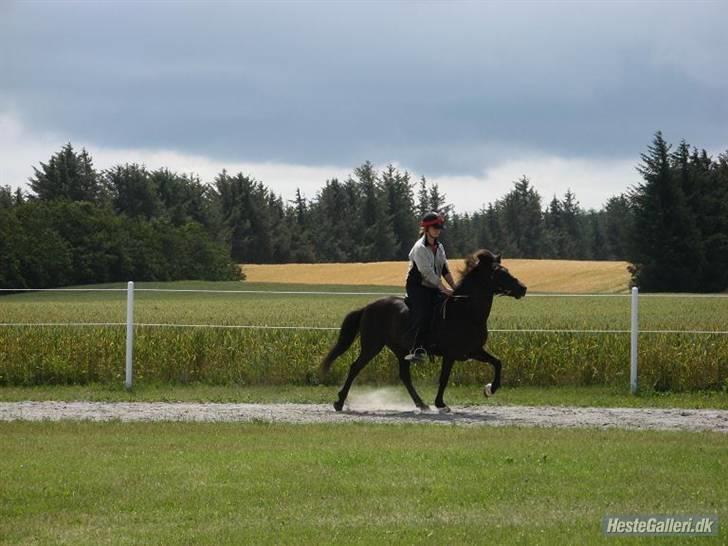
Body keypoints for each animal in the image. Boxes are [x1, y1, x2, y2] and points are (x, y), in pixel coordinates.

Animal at [322, 249, 528, 410]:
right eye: (499, 273)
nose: (523, 288)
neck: (465, 311)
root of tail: (367, 307)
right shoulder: (451, 354)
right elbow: (444, 378)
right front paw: (441, 404)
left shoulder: (473, 350)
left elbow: (497, 362)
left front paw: (490, 389)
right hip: (372, 346)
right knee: (355, 367)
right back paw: (339, 402)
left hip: (400, 350)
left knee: (404, 376)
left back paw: (421, 404)